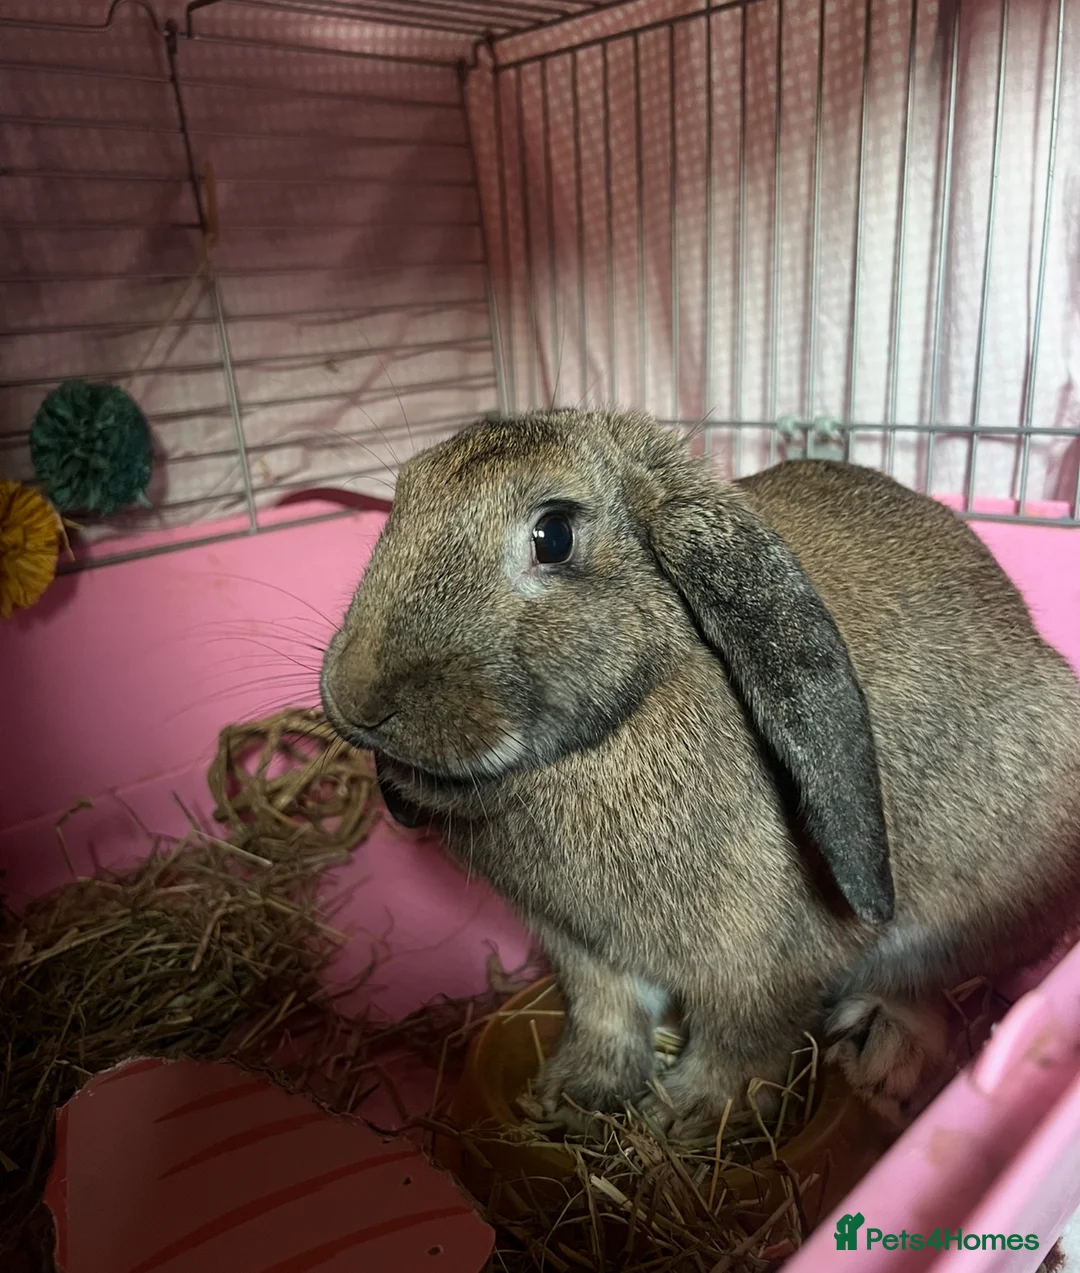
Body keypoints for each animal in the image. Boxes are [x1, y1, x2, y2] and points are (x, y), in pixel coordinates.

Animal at [320, 407, 1080, 1132]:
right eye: (402, 500)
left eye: (554, 534)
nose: (358, 700)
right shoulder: (585, 953)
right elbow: (608, 1015)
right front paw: (575, 1095)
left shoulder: (760, 967)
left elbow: (742, 1042)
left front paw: (686, 1114)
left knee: (929, 988)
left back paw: (881, 1052)